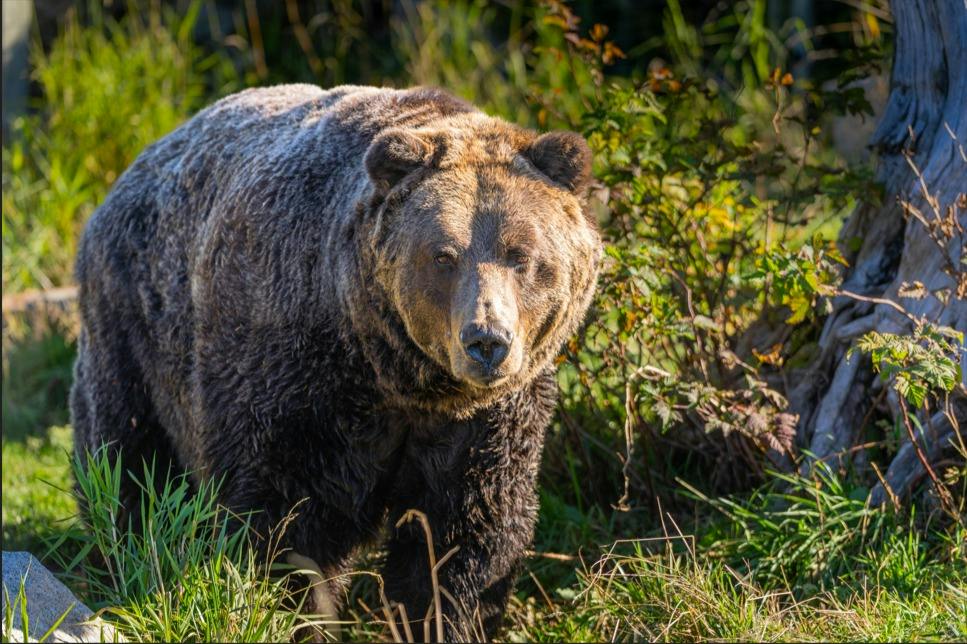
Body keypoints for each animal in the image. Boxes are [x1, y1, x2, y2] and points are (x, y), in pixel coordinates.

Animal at [70, 84, 600, 640]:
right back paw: (122, 555)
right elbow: (287, 519)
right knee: (125, 458)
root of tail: (137, 162)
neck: (400, 376)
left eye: (521, 255)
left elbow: (464, 536)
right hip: (132, 325)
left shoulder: (488, 420)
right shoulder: (298, 377)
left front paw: (443, 617)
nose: (486, 340)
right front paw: (291, 612)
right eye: (443, 256)